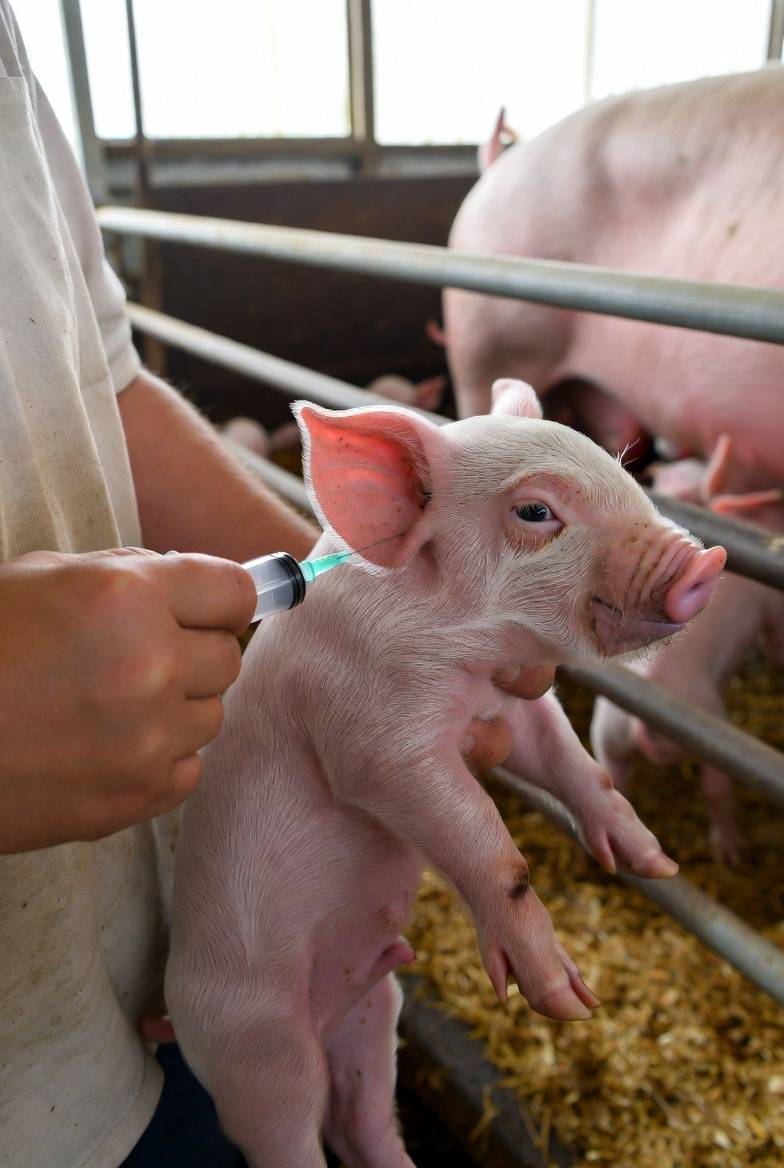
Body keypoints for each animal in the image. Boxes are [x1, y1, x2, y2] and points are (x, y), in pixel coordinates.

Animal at [166, 379, 725, 1168]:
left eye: (621, 471)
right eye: (536, 512)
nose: (707, 563)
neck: (468, 659)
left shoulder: (513, 701)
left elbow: (576, 766)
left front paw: (653, 862)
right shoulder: (372, 739)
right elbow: (490, 851)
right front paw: (566, 999)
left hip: (376, 1011)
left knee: (363, 1116)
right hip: (252, 1046)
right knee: (290, 1125)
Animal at [591, 441, 784, 862]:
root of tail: (641, 720)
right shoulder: (771, 609)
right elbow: (774, 641)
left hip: (607, 736)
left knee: (612, 783)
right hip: (713, 732)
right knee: (716, 790)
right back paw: (729, 854)